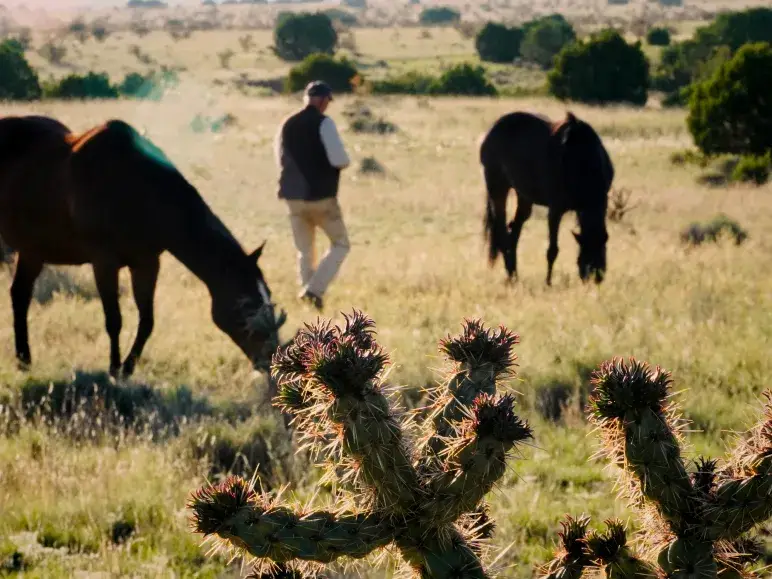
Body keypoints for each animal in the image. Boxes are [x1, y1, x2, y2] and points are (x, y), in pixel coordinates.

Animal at [0, 114, 287, 379]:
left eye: (268, 294)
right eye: (244, 304)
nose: (271, 358)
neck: (137, 191)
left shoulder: (146, 263)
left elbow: (147, 321)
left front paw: (127, 368)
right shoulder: (104, 262)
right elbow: (114, 320)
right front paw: (113, 369)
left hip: (32, 251)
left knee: (20, 295)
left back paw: (24, 360)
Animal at [480, 110, 615, 285]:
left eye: (602, 252)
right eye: (587, 255)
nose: (595, 278)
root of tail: (492, 131)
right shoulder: (555, 210)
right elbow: (552, 250)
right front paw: (548, 283)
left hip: (524, 196)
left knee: (514, 231)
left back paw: (514, 274)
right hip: (497, 188)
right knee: (501, 231)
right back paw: (511, 275)